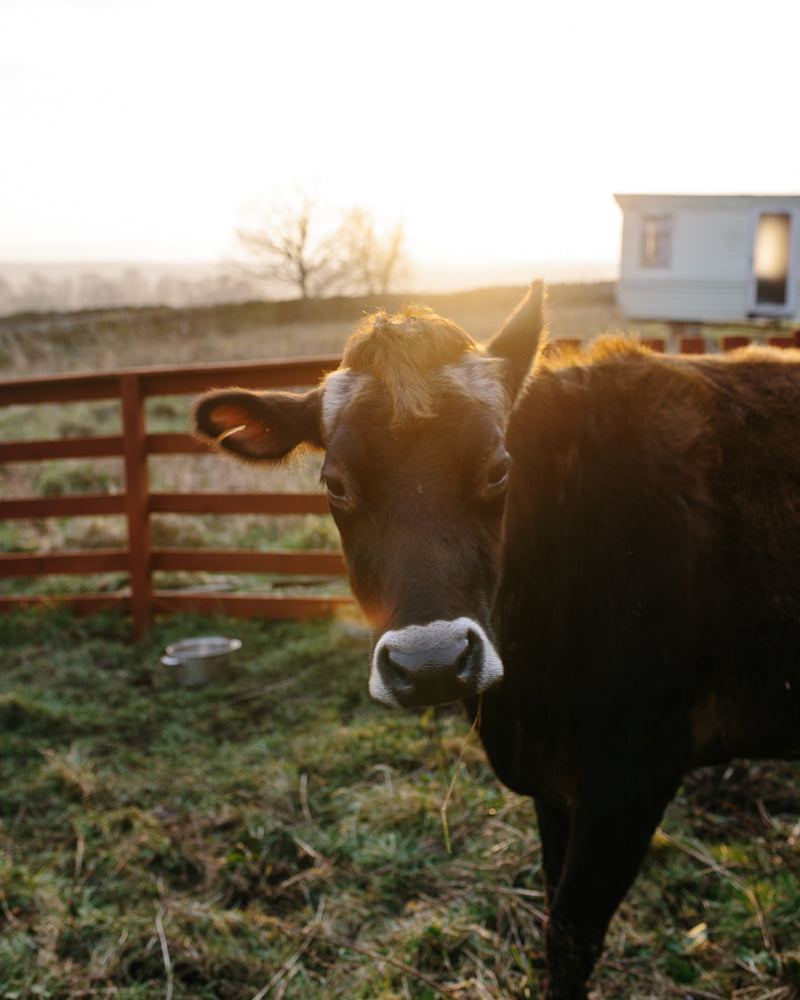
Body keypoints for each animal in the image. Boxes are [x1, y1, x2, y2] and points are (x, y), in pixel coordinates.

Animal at [192, 284, 800, 1000]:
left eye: (499, 469)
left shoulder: (633, 775)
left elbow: (568, 937)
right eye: (335, 483)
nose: (430, 663)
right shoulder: (556, 785)